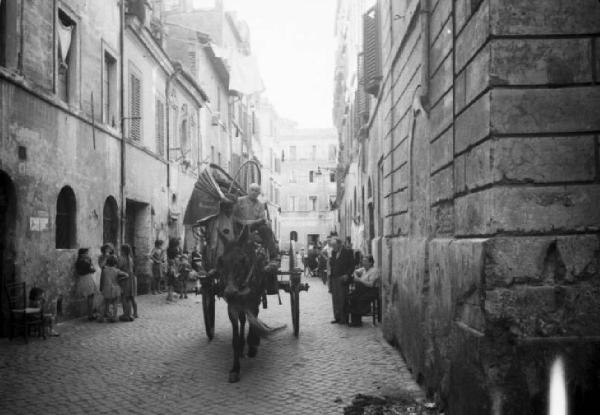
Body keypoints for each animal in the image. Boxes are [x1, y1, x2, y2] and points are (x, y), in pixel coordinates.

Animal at [216, 229, 282, 386]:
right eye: (221, 261)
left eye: (243, 260)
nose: (230, 292)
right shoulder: (232, 306)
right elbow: (235, 338)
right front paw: (235, 369)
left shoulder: (254, 301)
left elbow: (254, 320)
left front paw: (253, 345)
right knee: (243, 320)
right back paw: (241, 346)